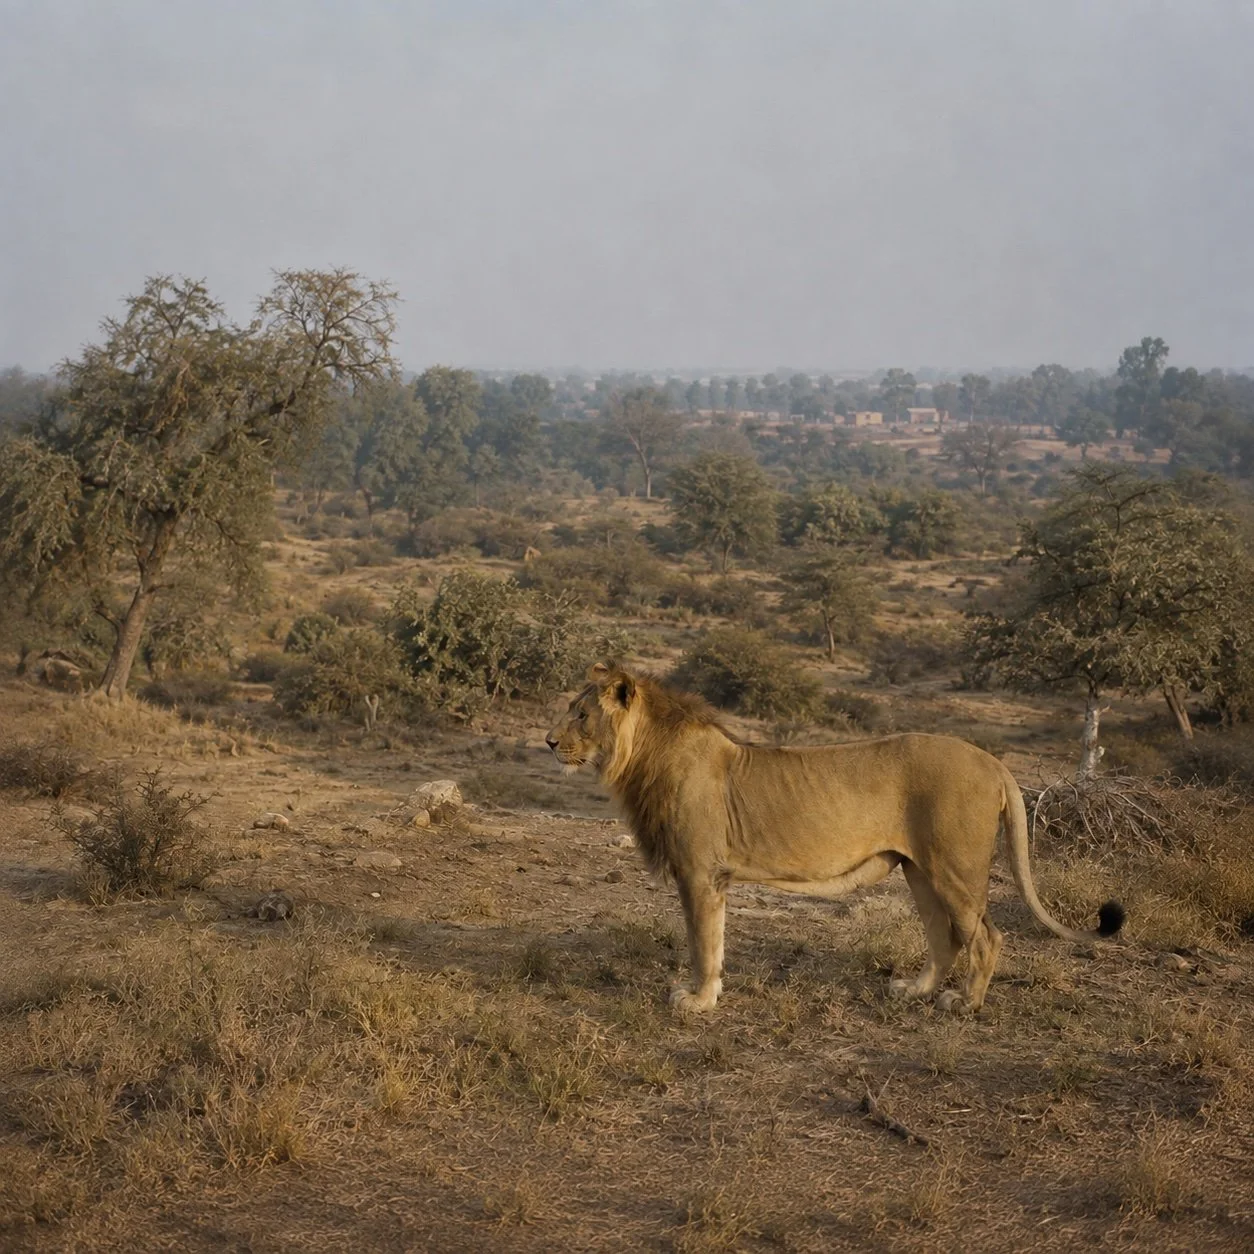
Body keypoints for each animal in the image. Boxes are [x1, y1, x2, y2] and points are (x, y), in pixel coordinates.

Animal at [547, 663, 1124, 1015]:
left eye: (581, 713)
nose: (549, 741)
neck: (644, 756)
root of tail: (994, 762)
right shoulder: (714, 877)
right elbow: (716, 940)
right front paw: (707, 994)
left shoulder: (699, 872)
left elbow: (702, 943)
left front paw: (698, 999)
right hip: (919, 871)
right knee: (943, 937)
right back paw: (913, 989)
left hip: (955, 871)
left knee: (986, 937)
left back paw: (965, 1004)